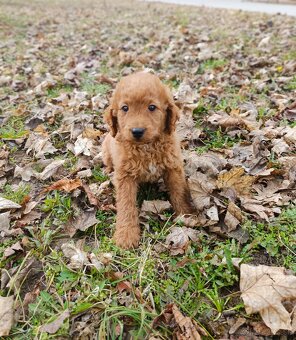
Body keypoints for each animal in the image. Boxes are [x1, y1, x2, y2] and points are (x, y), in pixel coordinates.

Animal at [102, 71, 194, 248]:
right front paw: (126, 235)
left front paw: (186, 215)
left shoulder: (173, 167)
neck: (146, 147)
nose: (137, 131)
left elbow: (178, 191)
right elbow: (126, 204)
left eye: (152, 107)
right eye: (125, 108)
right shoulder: (125, 176)